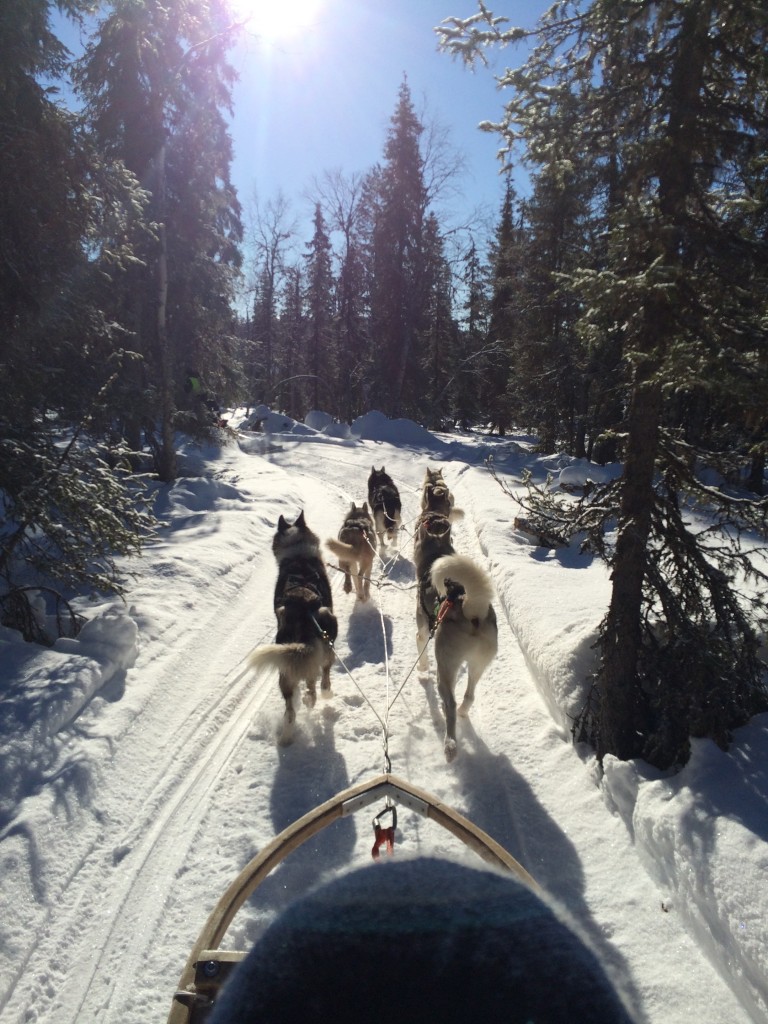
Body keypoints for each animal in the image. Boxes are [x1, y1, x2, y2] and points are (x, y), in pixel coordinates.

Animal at [250, 512, 337, 745]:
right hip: (327, 637)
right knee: (320, 678)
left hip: (286, 665)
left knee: (290, 711)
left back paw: (287, 736)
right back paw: (316, 697)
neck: (299, 556)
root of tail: (302, 606)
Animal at [415, 512, 499, 761]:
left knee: (450, 703)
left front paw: (422, 670)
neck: (435, 556)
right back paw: (462, 712)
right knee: (469, 696)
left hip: (445, 666)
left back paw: (450, 744)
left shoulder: (423, 631)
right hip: (478, 664)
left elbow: (421, 651)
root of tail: (473, 610)